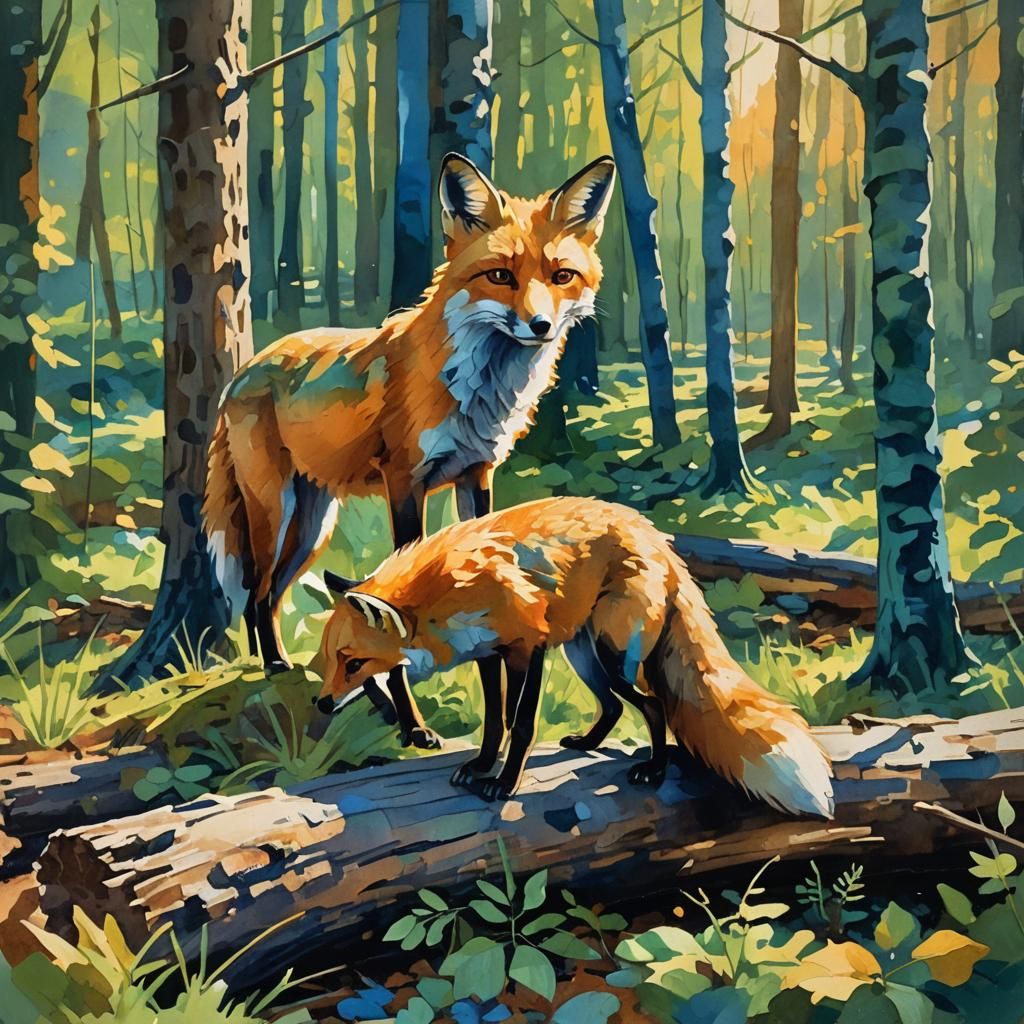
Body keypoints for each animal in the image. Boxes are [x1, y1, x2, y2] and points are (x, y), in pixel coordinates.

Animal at [202, 154, 616, 748]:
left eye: (561, 276)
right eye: (500, 276)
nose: (539, 327)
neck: (476, 394)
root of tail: (246, 369)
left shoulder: (476, 476)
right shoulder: (404, 483)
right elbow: (393, 605)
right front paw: (412, 724)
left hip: (312, 528)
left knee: (268, 595)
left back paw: (279, 668)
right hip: (275, 513)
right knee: (256, 591)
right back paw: (275, 668)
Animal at [316, 496, 835, 819]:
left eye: (353, 663)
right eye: (330, 661)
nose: (321, 705)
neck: (446, 591)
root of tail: (658, 538)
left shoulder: (529, 648)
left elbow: (521, 723)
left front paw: (504, 785)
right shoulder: (488, 654)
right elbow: (494, 723)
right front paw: (481, 766)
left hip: (608, 652)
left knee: (654, 704)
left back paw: (655, 769)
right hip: (582, 654)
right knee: (614, 707)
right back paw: (588, 742)